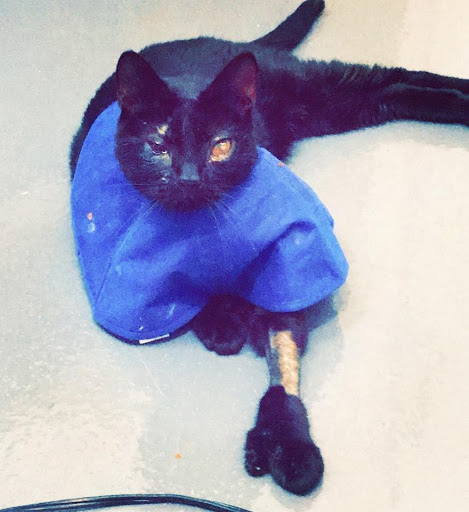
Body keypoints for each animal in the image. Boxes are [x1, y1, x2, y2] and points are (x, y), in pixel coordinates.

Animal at [70, 0, 468, 496]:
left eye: (220, 147)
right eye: (158, 145)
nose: (188, 178)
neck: (203, 231)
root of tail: (237, 45)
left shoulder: (289, 267)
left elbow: (283, 351)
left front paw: (289, 442)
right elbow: (191, 293)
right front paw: (221, 319)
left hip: (320, 88)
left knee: (391, 73)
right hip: (336, 109)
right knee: (390, 88)